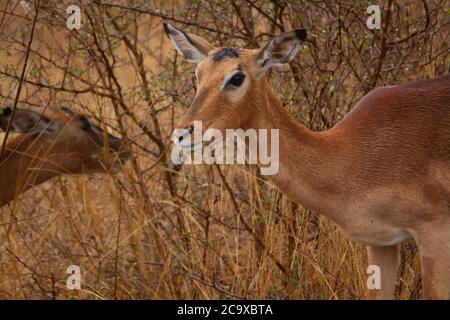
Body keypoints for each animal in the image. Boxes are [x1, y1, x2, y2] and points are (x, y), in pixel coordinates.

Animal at [164, 23, 450, 300]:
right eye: (198, 74)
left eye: (236, 77)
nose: (182, 133)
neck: (352, 154)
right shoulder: (381, 242)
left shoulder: (434, 233)